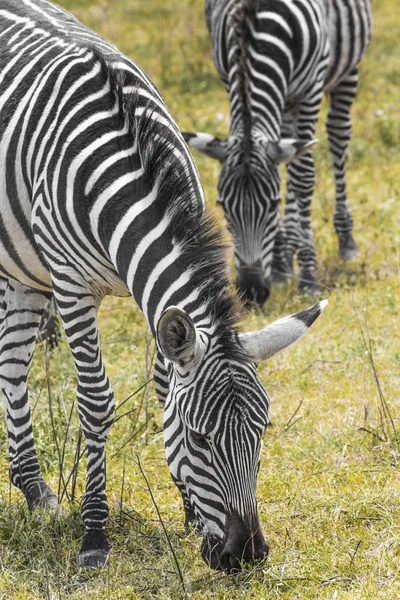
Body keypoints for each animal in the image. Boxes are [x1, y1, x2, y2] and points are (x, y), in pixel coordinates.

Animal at [0, 0, 328, 572]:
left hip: (25, 271)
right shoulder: (71, 285)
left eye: (262, 431)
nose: (246, 554)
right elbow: (95, 402)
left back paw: (36, 491)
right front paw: (94, 535)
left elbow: (162, 389)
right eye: (200, 438)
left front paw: (191, 517)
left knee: (13, 364)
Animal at [184, 0, 372, 304]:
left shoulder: (311, 88)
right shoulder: (229, 77)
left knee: (337, 134)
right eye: (222, 205)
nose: (251, 291)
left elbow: (303, 176)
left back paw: (345, 240)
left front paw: (308, 275)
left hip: (346, 69)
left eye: (272, 205)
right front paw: (280, 262)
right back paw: (284, 258)